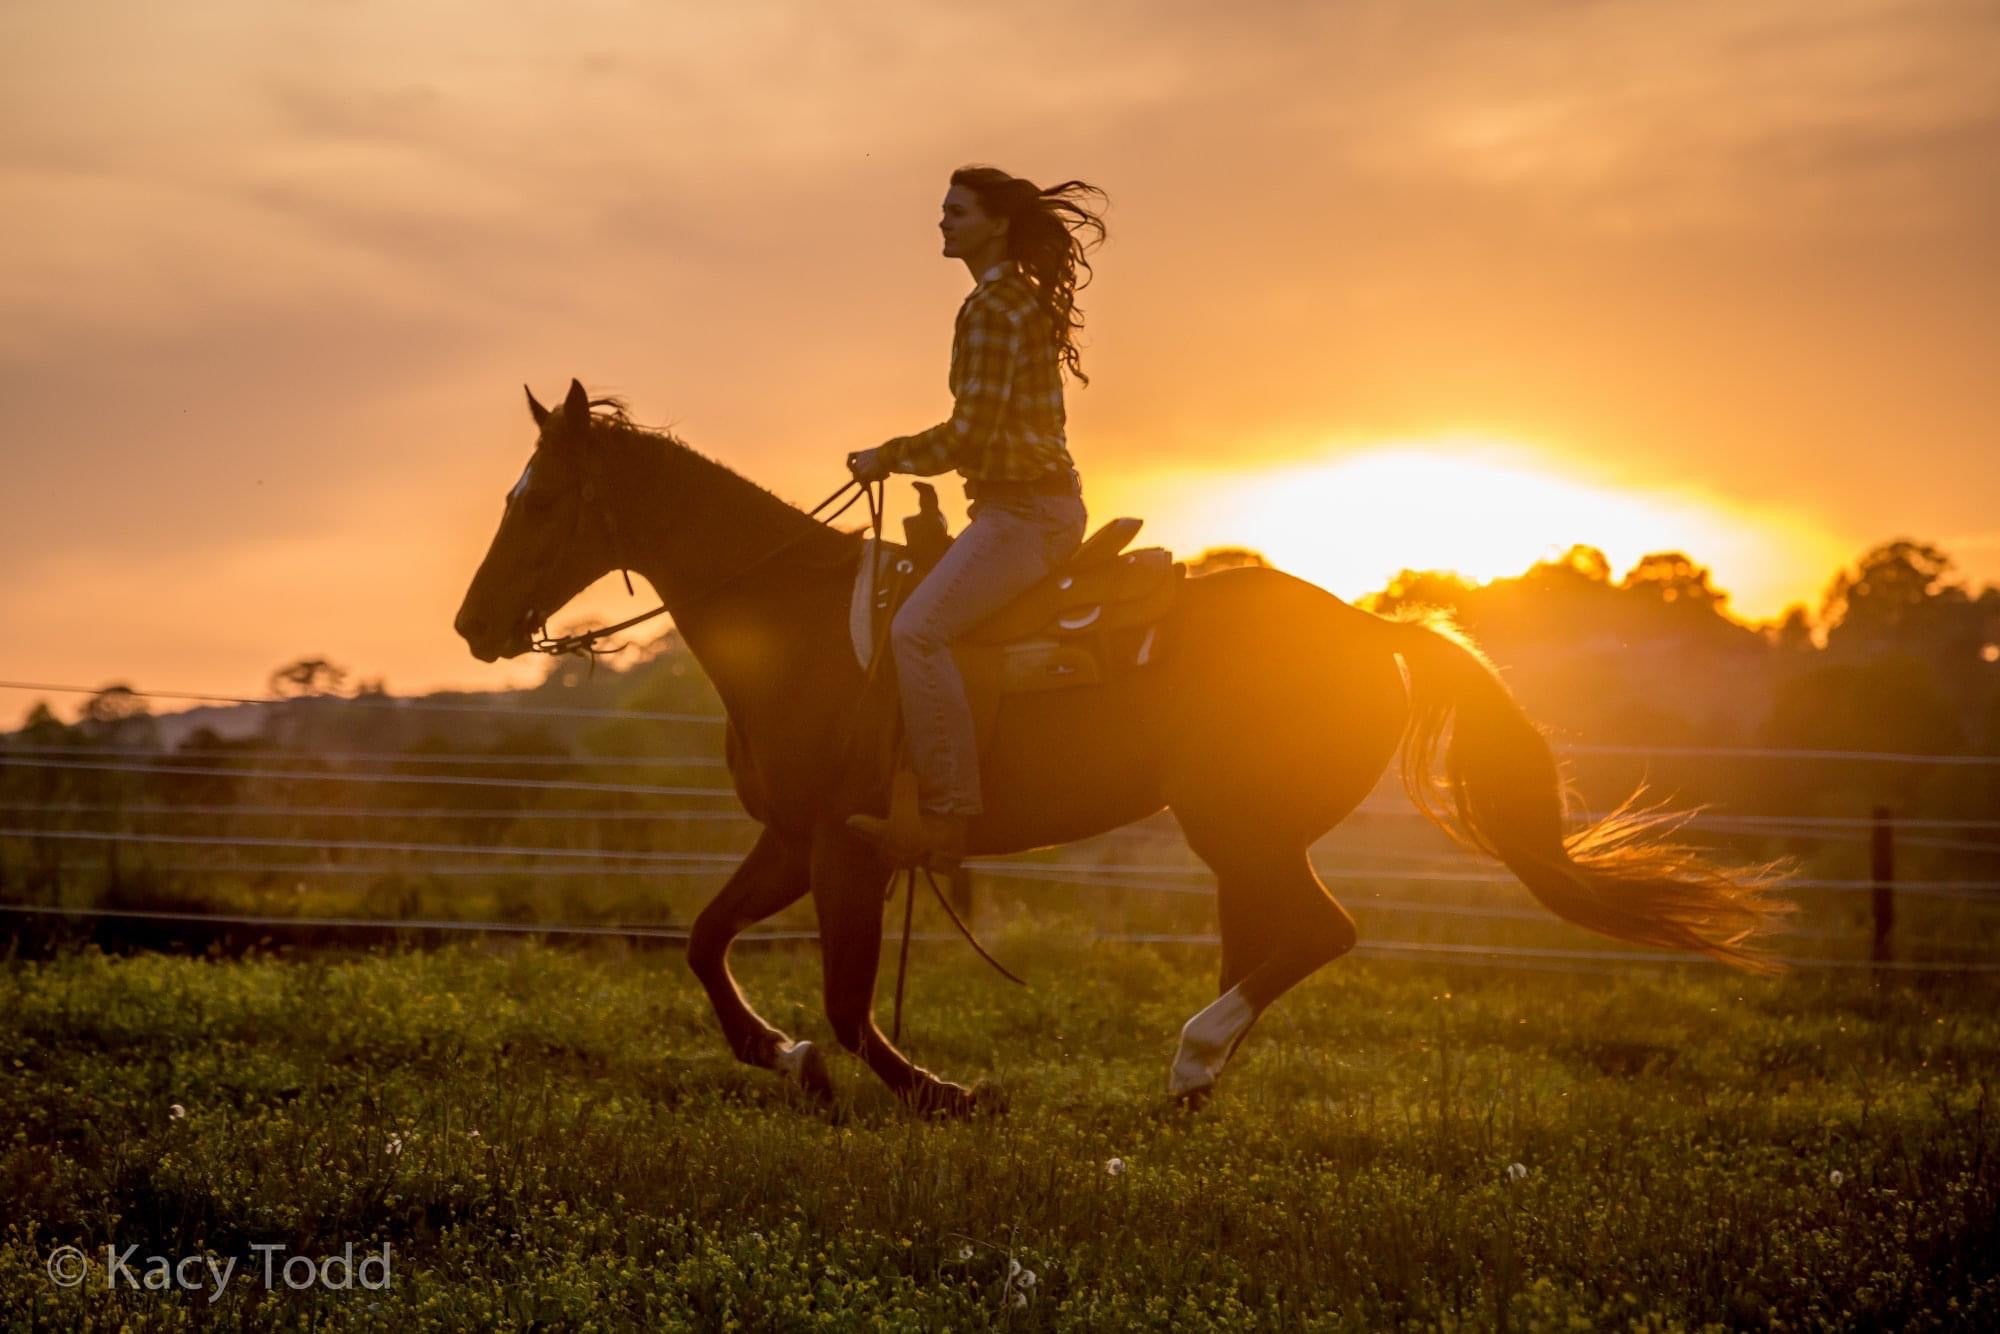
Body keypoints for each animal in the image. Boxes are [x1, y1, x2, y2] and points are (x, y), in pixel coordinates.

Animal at [458, 378, 1800, 1120]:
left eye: (538, 499)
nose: (474, 624)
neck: (797, 625)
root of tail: (1371, 626)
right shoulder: (791, 838)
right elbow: (703, 939)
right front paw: (773, 1053)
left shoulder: (851, 846)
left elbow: (844, 999)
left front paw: (942, 1091)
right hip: (1241, 835)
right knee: (1269, 939)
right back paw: (1197, 1080)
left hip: (1237, 819)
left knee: (1317, 931)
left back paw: (1190, 1059)